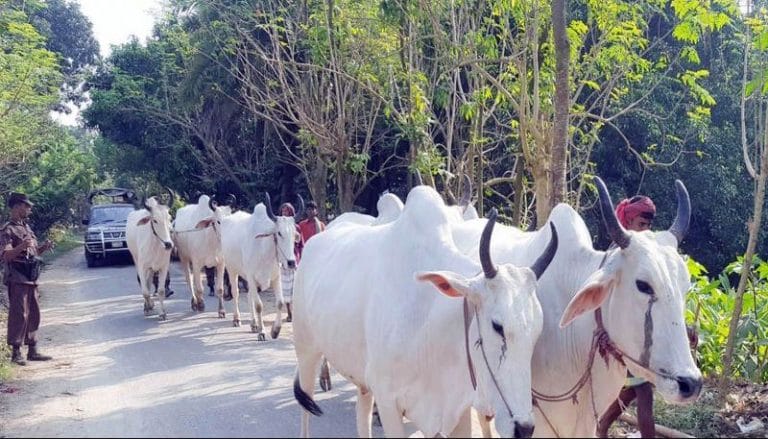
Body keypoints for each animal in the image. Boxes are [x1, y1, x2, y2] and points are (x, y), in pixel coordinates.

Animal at [126, 194, 174, 322]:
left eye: (169, 218)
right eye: (155, 220)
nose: (168, 244)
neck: (156, 245)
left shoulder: (163, 267)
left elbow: (161, 291)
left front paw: (162, 313)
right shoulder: (142, 267)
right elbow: (145, 292)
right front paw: (148, 306)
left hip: (152, 268)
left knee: (148, 281)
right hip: (136, 260)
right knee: (145, 285)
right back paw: (148, 306)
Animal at [218, 192, 302, 340]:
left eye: (294, 234)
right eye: (279, 233)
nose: (291, 262)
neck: (265, 251)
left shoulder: (276, 277)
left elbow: (280, 303)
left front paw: (275, 330)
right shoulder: (251, 277)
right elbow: (258, 306)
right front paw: (262, 332)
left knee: (249, 295)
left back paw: (253, 324)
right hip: (232, 269)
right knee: (236, 293)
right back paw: (237, 319)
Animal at [292, 186, 560, 439]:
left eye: (537, 333)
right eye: (497, 326)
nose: (524, 428)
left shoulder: (456, 412)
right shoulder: (388, 403)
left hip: (361, 379)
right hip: (306, 350)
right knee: (305, 407)